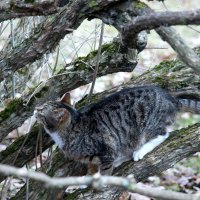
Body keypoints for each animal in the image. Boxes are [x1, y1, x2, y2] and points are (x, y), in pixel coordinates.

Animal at [34, 85, 200, 175]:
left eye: (42, 111)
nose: (35, 108)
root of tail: (171, 99)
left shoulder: (107, 149)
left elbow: (105, 170)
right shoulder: (91, 158)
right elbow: (91, 167)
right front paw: (88, 178)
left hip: (148, 124)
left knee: (163, 134)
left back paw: (139, 151)